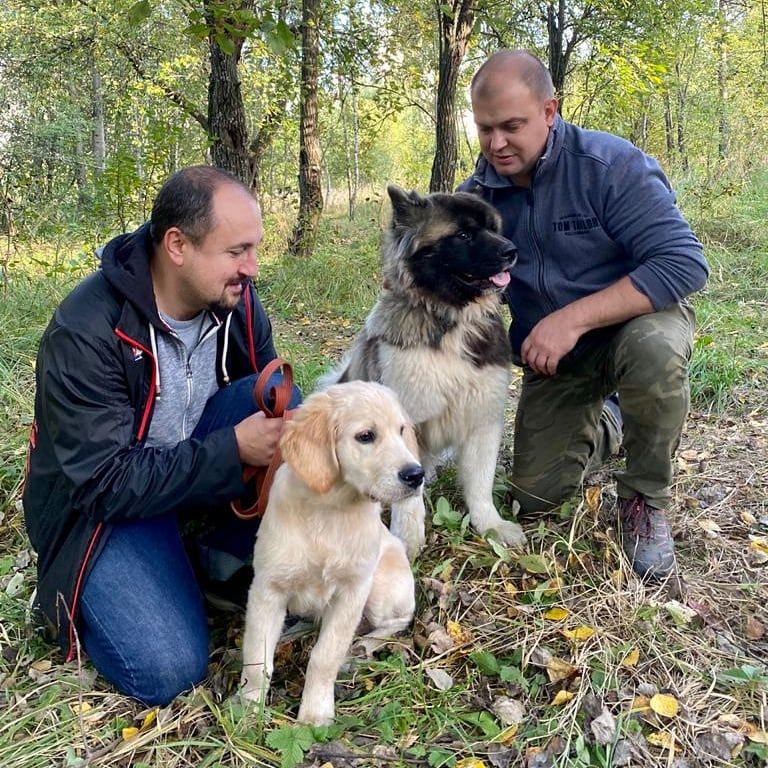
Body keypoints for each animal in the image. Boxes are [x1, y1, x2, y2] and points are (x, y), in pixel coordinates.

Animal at [240, 382, 424, 728]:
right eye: (366, 436)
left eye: (401, 430)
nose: (416, 475)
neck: (329, 512)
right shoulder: (267, 589)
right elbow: (257, 657)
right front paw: (247, 709)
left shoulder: (352, 592)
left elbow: (325, 656)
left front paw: (315, 714)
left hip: (382, 589)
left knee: (401, 619)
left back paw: (364, 645)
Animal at [324, 186, 528, 560]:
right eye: (463, 235)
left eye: (494, 228)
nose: (512, 251)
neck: (449, 319)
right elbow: (408, 498)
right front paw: (407, 541)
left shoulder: (482, 418)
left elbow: (480, 483)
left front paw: (491, 526)